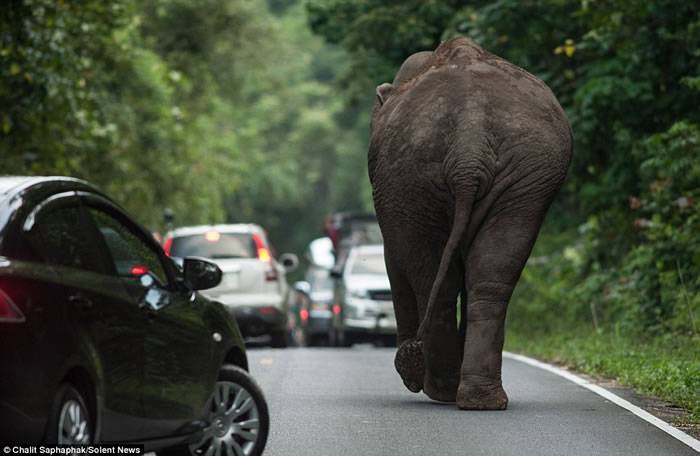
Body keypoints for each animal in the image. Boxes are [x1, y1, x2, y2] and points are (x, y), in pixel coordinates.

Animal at [370, 37, 572, 412]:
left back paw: (445, 391)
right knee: (491, 278)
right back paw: (478, 400)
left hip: (412, 178)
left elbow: (395, 261)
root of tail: (470, 144)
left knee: (438, 281)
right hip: (523, 179)